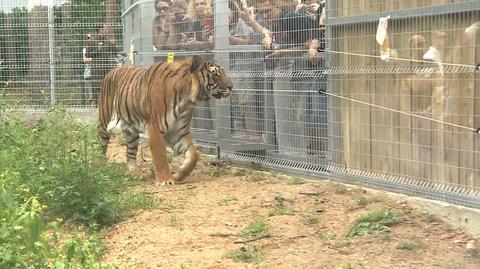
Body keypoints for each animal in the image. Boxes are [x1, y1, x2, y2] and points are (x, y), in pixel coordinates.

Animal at [97, 54, 232, 184]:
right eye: (215, 74)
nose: (231, 86)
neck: (186, 99)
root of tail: (112, 70)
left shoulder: (179, 131)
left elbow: (194, 155)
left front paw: (179, 175)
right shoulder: (156, 128)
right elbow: (160, 155)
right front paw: (165, 180)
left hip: (131, 132)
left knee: (130, 153)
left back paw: (136, 174)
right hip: (104, 123)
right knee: (101, 145)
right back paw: (100, 167)